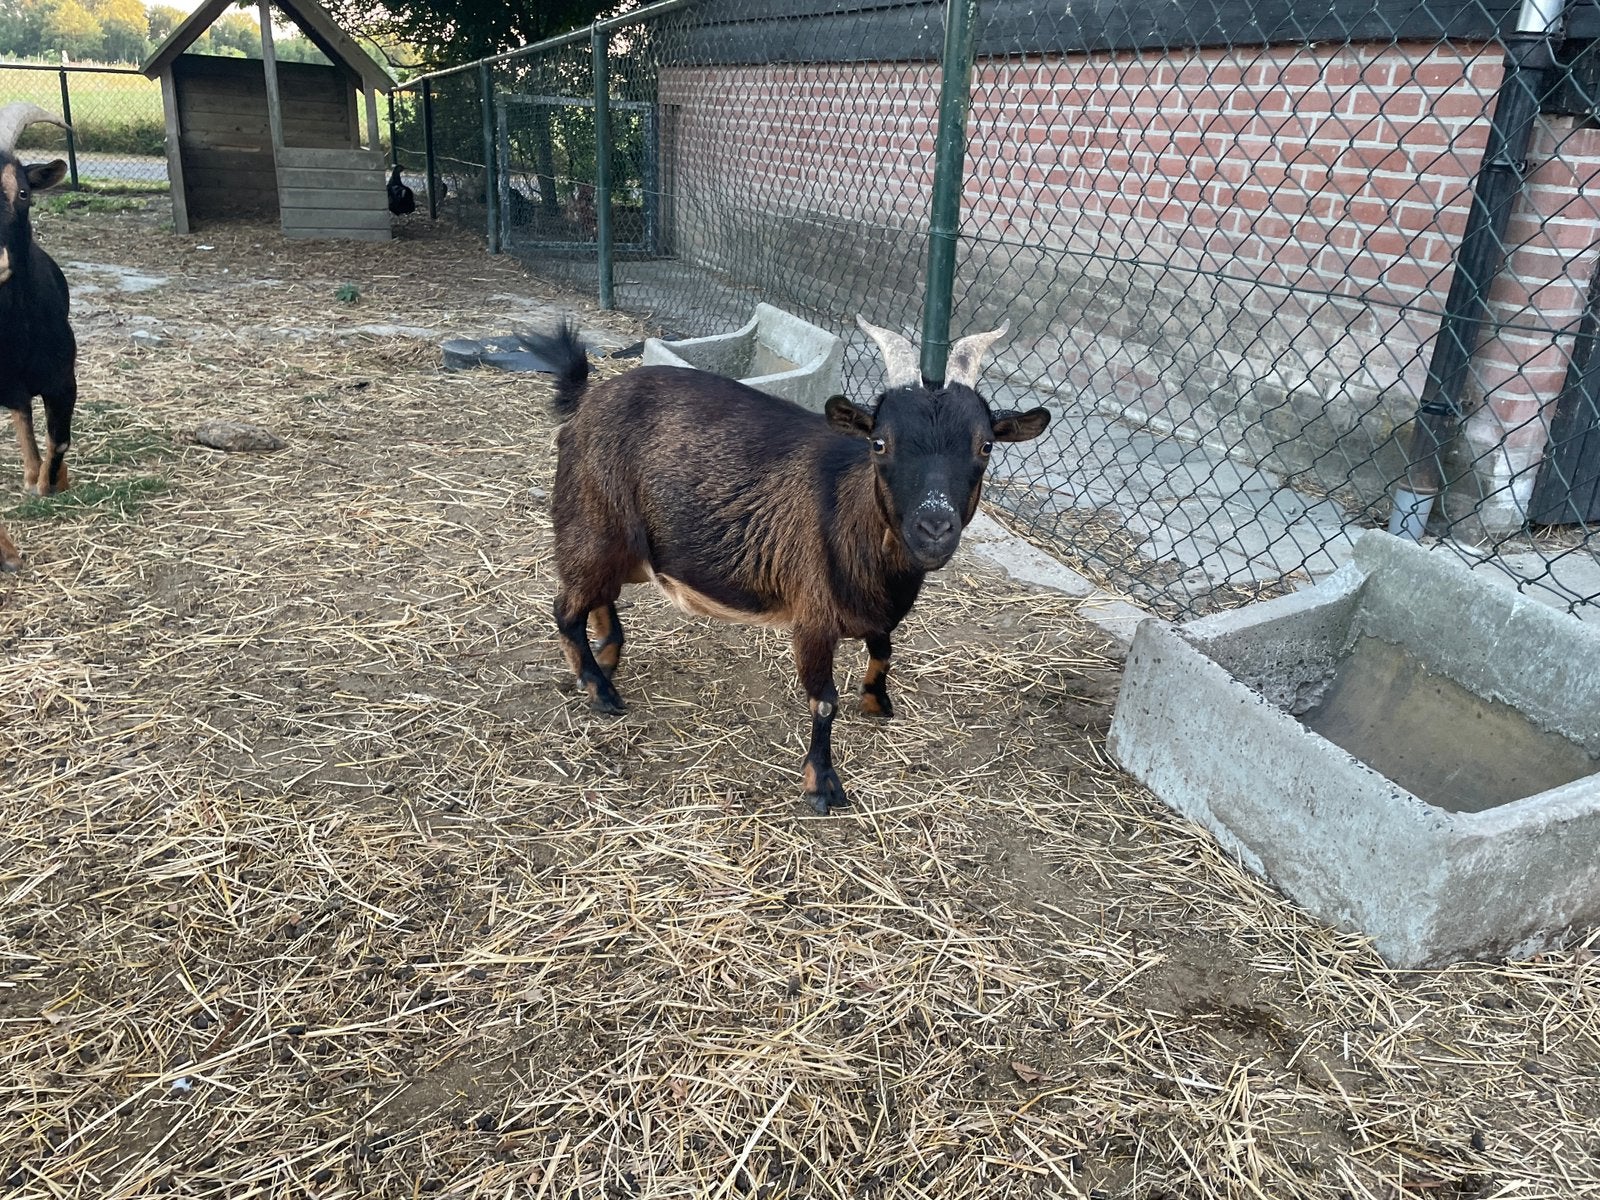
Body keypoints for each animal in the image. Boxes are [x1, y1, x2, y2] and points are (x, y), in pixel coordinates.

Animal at [530, 315, 1050, 813]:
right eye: (880, 443)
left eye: (986, 445)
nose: (934, 527)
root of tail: (587, 402)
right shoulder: (814, 613)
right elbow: (824, 703)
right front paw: (821, 785)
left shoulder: (871, 609)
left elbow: (884, 649)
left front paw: (876, 701)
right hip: (591, 525)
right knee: (566, 608)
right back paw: (600, 691)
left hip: (619, 545)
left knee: (598, 597)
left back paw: (607, 657)